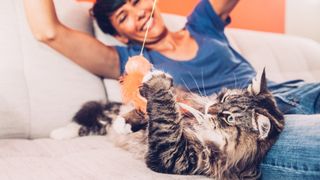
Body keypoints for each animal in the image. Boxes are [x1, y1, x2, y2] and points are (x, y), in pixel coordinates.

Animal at [51, 69, 284, 179]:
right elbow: (155, 113)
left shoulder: (176, 156)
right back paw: (60, 132)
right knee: (88, 117)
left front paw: (158, 83)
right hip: (106, 113)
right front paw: (126, 122)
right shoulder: (186, 108)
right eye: (224, 98)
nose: (210, 108)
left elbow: (165, 117)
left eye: (228, 118)